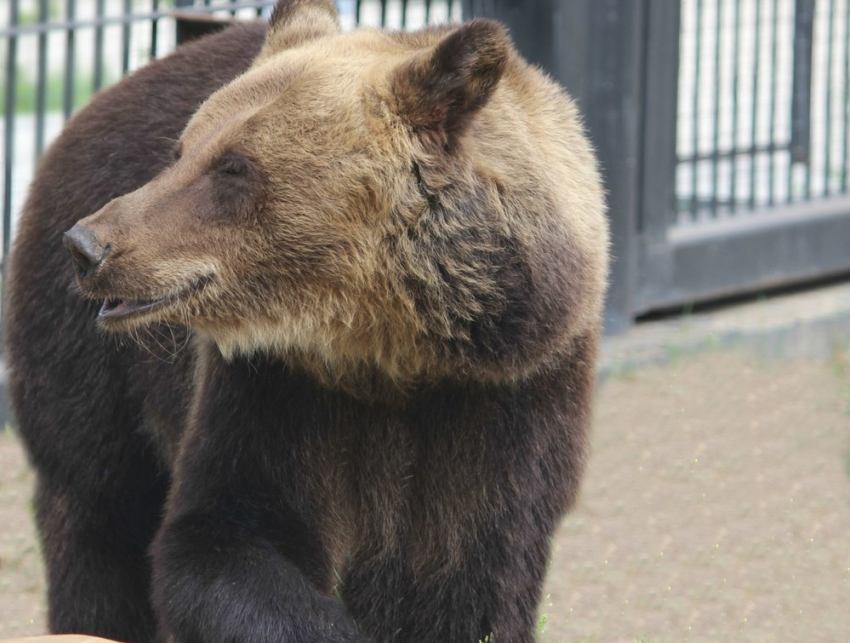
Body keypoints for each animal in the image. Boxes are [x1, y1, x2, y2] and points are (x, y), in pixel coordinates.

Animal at [3, 1, 608, 643]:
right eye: (182, 150)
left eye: (233, 167)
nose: (89, 245)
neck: (389, 346)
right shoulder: (276, 391)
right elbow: (223, 537)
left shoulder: (511, 393)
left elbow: (474, 575)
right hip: (86, 360)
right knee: (97, 507)